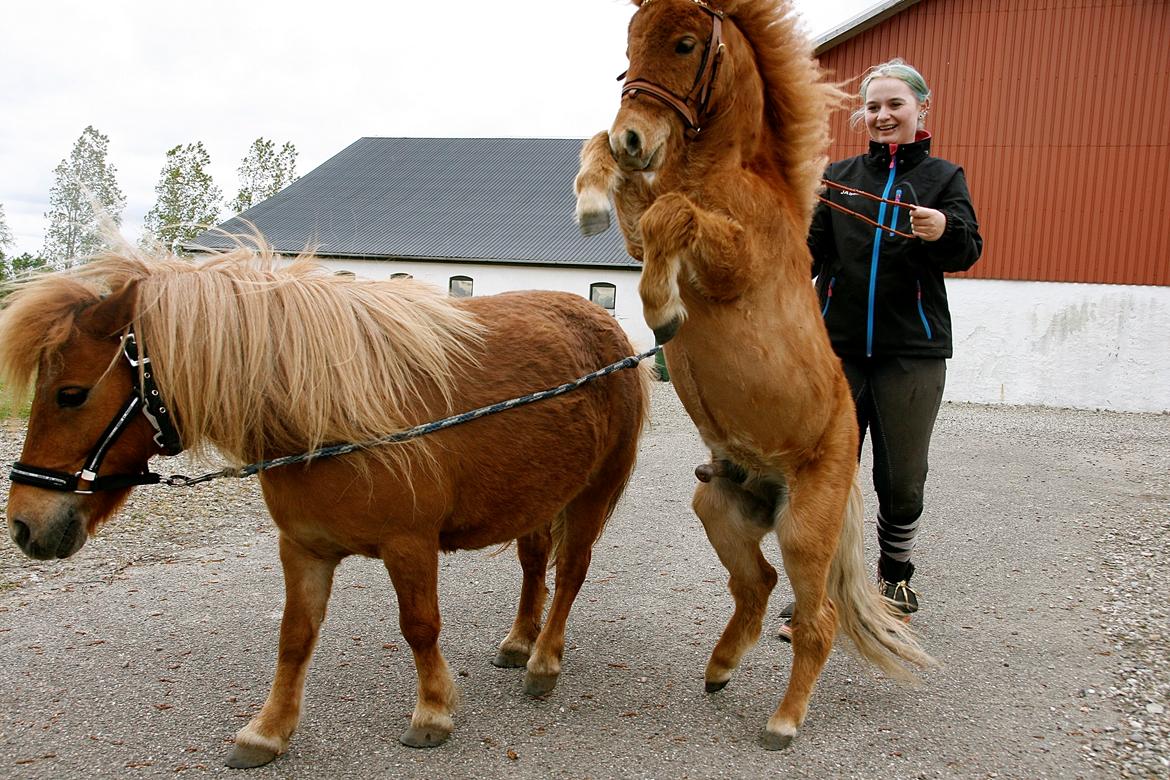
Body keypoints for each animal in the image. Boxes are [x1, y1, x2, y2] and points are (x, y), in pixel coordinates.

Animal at [0, 245, 650, 767]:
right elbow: (295, 637)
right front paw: (266, 732)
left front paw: (432, 713)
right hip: (539, 495)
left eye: (71, 394)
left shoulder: (410, 546)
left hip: (591, 493)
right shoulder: (304, 548)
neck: (329, 417)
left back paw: (543, 662)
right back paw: (519, 642)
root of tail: (609, 330)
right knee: (535, 563)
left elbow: (419, 626)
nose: (25, 524)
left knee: (570, 573)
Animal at [573, 0, 931, 748]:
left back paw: (783, 723)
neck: (729, 174)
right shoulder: (639, 227)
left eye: (685, 44)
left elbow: (671, 214)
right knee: (758, 586)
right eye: (630, 43)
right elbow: (632, 194)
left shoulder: (731, 261)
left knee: (818, 619)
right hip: (718, 511)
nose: (634, 138)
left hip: (803, 532)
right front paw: (591, 198)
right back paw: (719, 668)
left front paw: (664, 310)